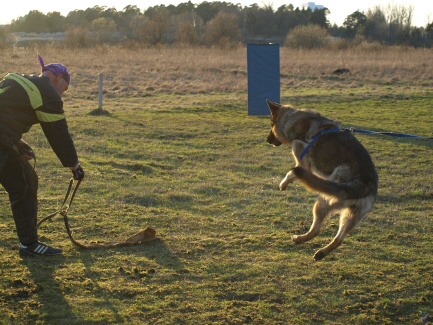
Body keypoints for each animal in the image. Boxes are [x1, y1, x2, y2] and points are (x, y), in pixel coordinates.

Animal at [264, 100, 376, 260]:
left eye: (271, 125)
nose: (267, 140)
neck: (295, 120)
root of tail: (365, 184)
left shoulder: (302, 161)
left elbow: (292, 172)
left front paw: (283, 183)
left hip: (323, 201)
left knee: (317, 229)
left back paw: (299, 239)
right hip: (351, 216)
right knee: (339, 238)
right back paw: (320, 253)